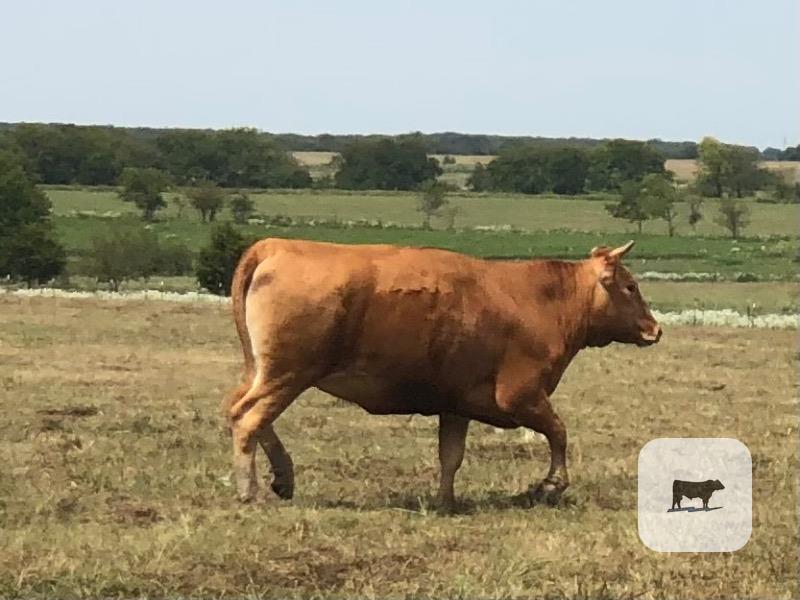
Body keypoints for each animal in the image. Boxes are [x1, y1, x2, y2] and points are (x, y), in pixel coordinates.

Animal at [223, 238, 661, 511]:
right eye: (630, 286)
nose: (655, 329)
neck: (544, 300)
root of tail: (277, 245)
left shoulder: (456, 404)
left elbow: (451, 456)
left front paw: (446, 501)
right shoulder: (520, 395)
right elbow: (559, 432)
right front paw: (552, 484)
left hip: (265, 372)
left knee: (239, 410)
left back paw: (283, 477)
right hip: (288, 374)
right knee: (247, 419)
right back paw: (251, 491)